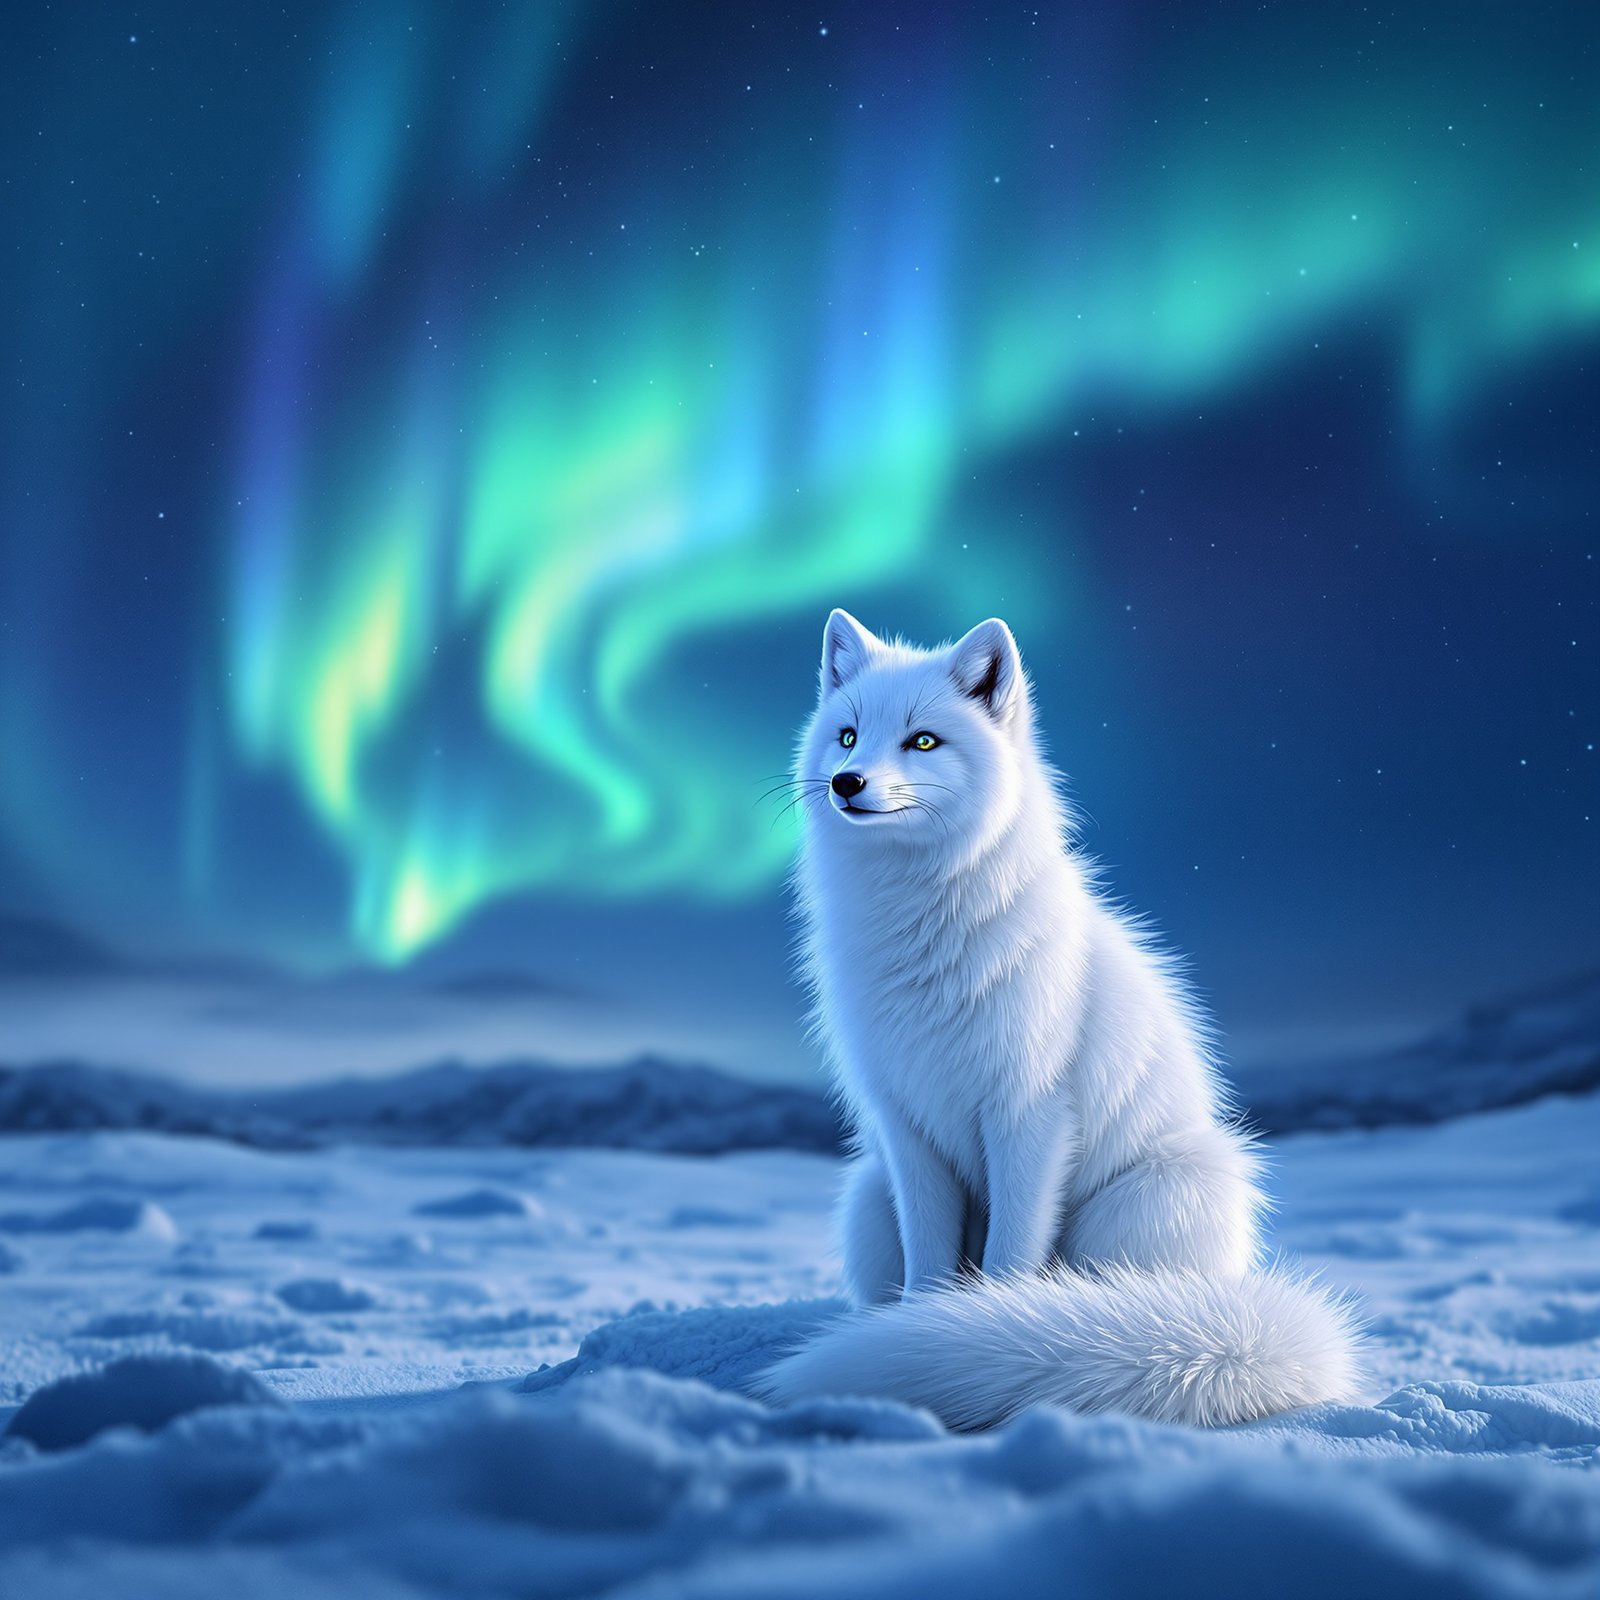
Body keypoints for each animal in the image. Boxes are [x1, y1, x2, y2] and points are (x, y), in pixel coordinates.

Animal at [757, 610, 1360, 1428]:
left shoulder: (1029, 1113)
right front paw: (921, 1330)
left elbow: (1012, 1258)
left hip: (1147, 1205)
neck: (918, 932)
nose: (847, 783)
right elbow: (929, 1262)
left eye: (923, 741)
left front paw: (971, 1332)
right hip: (866, 1202)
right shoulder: (906, 1124)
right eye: (848, 736)